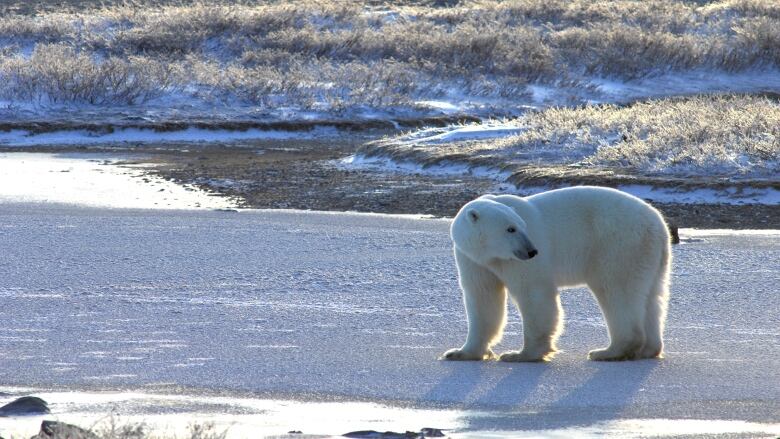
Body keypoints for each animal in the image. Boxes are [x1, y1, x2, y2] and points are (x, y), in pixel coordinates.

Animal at [444, 187, 672, 362]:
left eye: (521, 226)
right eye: (510, 229)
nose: (532, 251)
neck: (491, 255)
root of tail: (659, 224)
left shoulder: (517, 263)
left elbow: (534, 294)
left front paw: (521, 354)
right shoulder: (473, 260)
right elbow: (483, 298)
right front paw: (460, 353)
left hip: (618, 245)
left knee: (616, 291)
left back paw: (608, 351)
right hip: (649, 256)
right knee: (652, 298)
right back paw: (647, 349)